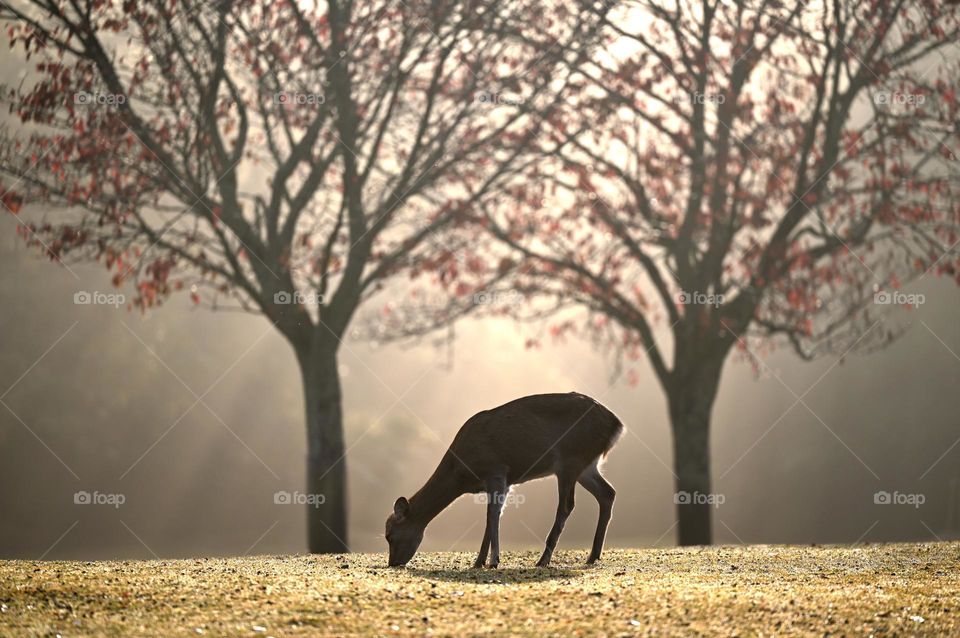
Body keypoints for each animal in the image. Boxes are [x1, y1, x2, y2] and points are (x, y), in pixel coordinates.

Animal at [386, 392, 623, 568]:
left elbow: (492, 516)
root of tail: (617, 425)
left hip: (570, 459)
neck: (461, 473)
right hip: (587, 466)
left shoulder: (496, 472)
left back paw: (543, 560)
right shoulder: (505, 483)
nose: (392, 563)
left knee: (567, 505)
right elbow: (493, 516)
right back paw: (593, 555)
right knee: (608, 492)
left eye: (390, 535)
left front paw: (492, 561)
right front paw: (479, 561)